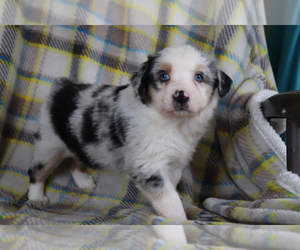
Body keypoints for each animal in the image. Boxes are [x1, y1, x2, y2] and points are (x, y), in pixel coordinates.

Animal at [27, 44, 232, 243]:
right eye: (164, 76)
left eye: (199, 77)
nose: (181, 95)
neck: (175, 124)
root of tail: (62, 86)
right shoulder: (149, 166)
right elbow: (171, 201)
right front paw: (179, 229)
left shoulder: (173, 165)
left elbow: (171, 192)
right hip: (49, 145)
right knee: (37, 171)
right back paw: (37, 198)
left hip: (75, 141)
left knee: (74, 158)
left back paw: (84, 181)